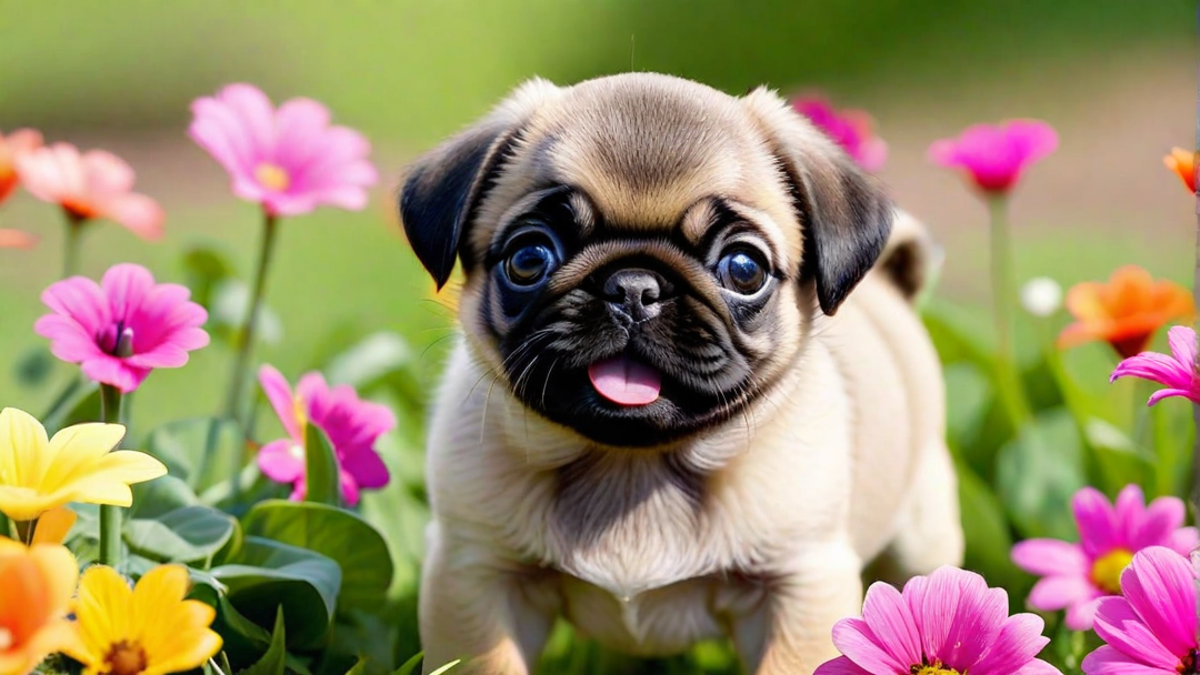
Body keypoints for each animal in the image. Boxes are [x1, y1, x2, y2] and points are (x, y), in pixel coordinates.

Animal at [398, 73, 960, 672]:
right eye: (530, 258)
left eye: (744, 269)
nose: (633, 287)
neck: (630, 467)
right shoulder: (476, 572)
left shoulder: (799, 587)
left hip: (923, 539)